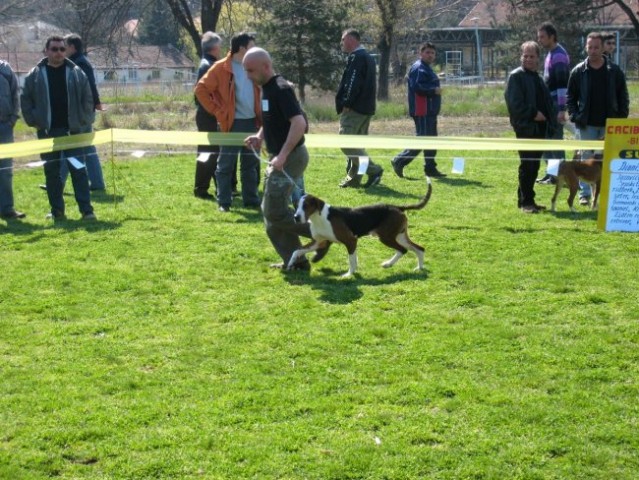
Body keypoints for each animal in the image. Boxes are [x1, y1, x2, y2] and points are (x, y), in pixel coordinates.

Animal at [292, 179, 436, 278]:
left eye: (306, 206)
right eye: (296, 205)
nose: (296, 217)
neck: (319, 217)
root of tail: (398, 207)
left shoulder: (350, 241)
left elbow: (351, 261)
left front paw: (348, 275)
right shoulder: (319, 242)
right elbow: (297, 251)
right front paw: (291, 262)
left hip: (386, 237)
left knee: (403, 250)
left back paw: (390, 264)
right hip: (400, 236)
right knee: (419, 249)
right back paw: (418, 268)